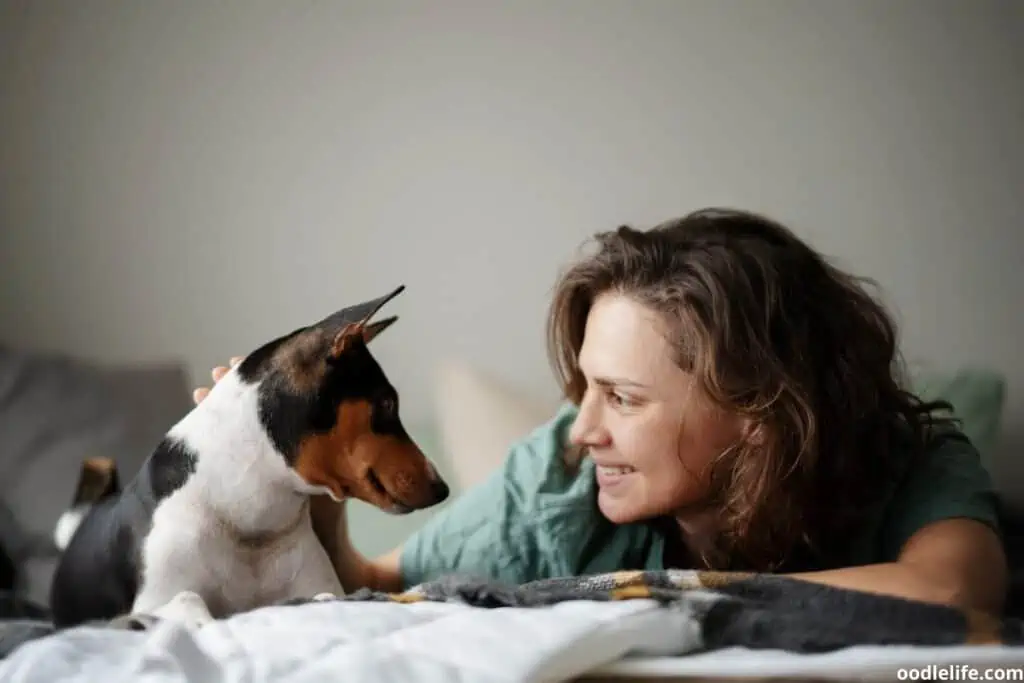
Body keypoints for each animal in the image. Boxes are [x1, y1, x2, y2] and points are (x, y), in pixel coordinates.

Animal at [48, 284, 448, 630]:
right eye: (388, 403)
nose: (442, 488)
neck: (252, 521)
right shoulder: (153, 600)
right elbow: (190, 601)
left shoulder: (324, 590)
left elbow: (323, 599)